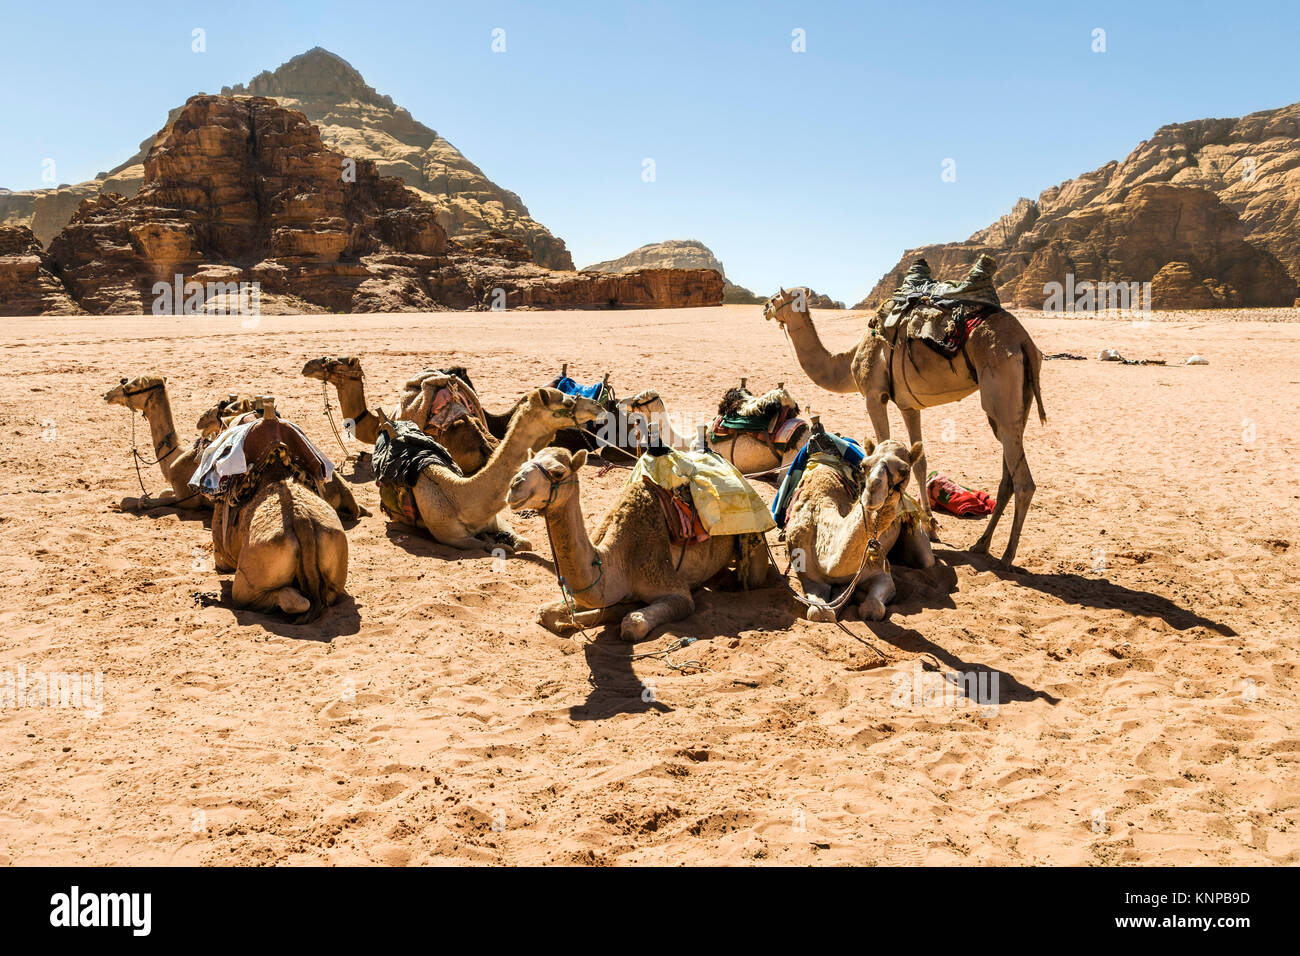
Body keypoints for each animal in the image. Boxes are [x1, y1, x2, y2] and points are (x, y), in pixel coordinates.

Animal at [210, 400, 348, 620]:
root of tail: (302, 521)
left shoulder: (220, 552)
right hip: (335, 553)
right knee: (326, 596)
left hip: (250, 578)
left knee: (275, 598)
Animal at [398, 387, 604, 551]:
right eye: (568, 403)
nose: (598, 406)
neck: (459, 496)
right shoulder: (452, 537)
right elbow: (494, 546)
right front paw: (493, 541)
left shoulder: (496, 520)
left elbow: (524, 543)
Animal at [507, 446, 775, 641]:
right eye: (522, 465)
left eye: (557, 472)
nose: (514, 487)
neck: (617, 559)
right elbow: (545, 611)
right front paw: (569, 622)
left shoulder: (675, 589)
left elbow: (632, 624)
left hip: (756, 535)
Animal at [765, 264, 1046, 565]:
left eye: (776, 297)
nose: (765, 308)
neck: (847, 361)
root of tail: (1024, 341)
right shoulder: (909, 406)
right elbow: (919, 462)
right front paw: (930, 525)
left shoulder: (873, 395)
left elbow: (882, 446)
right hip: (1018, 404)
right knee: (1008, 476)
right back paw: (981, 544)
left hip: (1001, 390)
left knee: (1024, 482)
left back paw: (1007, 556)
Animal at [784, 437, 934, 622]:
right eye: (864, 465)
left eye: (904, 470)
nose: (872, 492)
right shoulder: (809, 577)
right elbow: (819, 613)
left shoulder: (880, 572)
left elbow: (873, 608)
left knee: (926, 560)